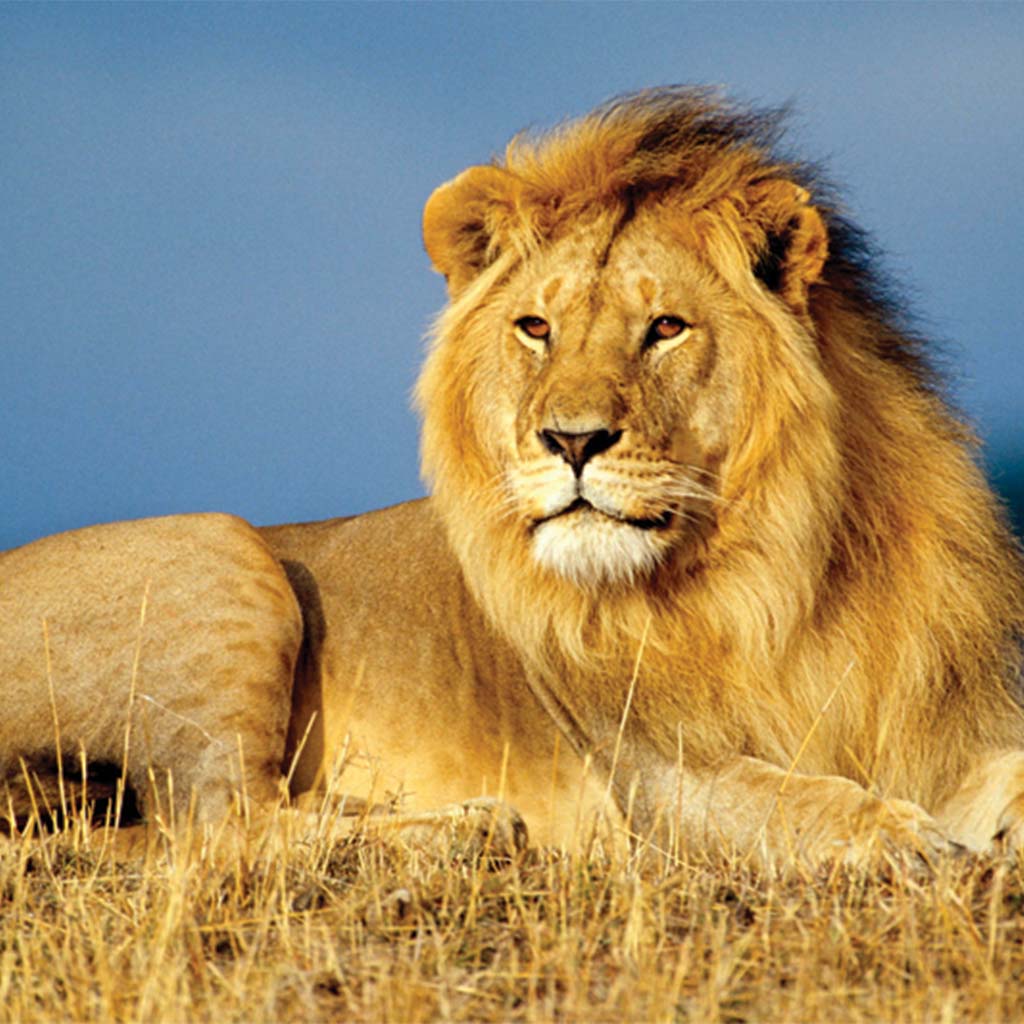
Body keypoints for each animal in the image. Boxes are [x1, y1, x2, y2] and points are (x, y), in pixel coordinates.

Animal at [2, 88, 1023, 868]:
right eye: (536, 327)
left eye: (665, 328)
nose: (571, 440)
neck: (780, 571)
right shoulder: (655, 776)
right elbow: (801, 803)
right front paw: (907, 840)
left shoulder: (954, 723)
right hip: (219, 550)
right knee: (215, 825)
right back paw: (466, 829)